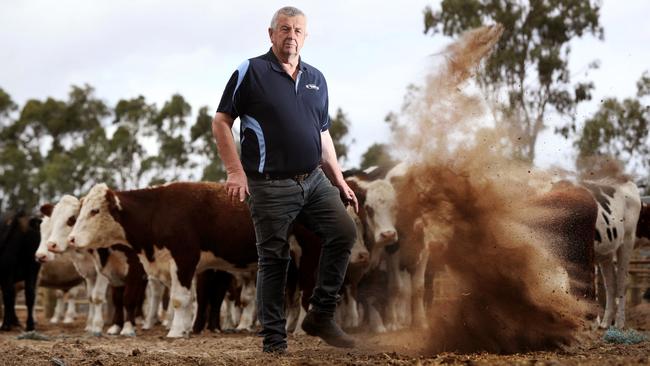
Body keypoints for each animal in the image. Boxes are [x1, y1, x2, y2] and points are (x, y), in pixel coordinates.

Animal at [67, 182, 256, 338]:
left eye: (95, 211)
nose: (71, 239)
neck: (157, 212)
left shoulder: (184, 260)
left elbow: (179, 299)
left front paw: (176, 331)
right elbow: (184, 300)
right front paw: (184, 328)